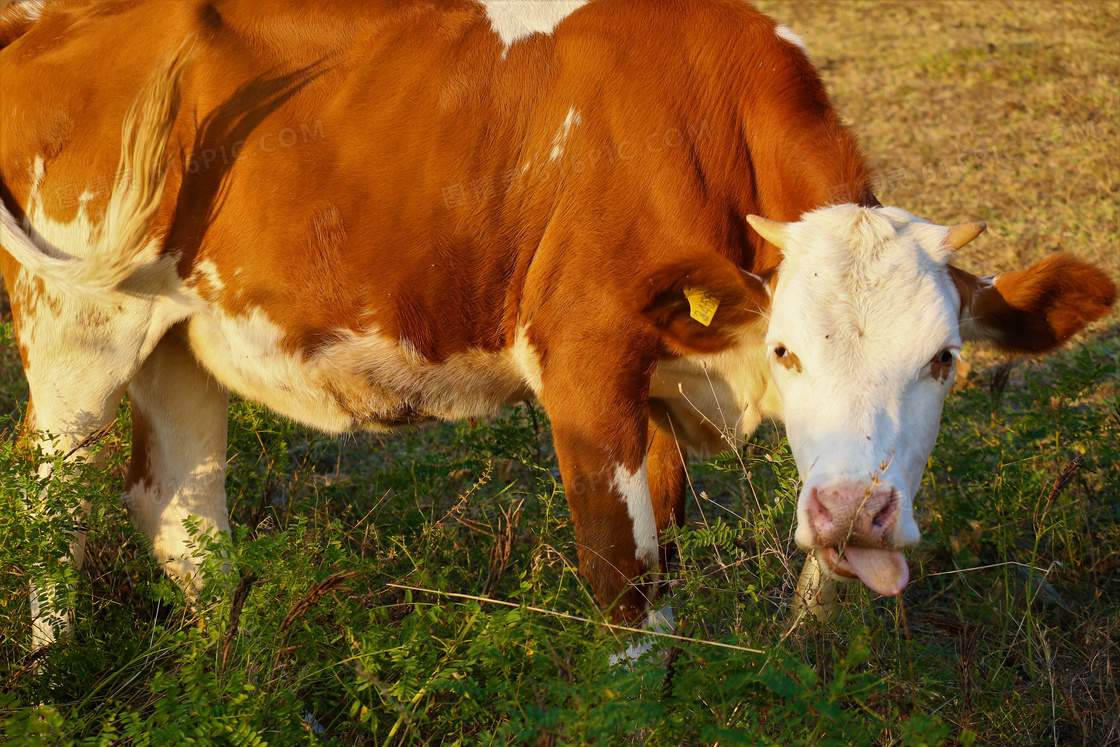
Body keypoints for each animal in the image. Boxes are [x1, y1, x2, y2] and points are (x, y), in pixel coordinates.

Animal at [4, 0, 1115, 654]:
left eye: (944, 361)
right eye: (789, 349)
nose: (856, 511)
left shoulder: (663, 390)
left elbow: (717, 575)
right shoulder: (585, 361)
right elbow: (624, 585)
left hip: (178, 338)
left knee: (181, 511)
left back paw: (240, 674)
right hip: (75, 328)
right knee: (53, 494)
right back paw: (55, 670)